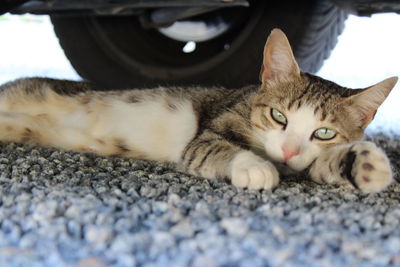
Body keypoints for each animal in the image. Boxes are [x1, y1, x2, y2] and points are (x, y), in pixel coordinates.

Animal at [0, 28, 396, 193]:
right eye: (278, 116)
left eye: (324, 132)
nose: (286, 150)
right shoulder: (212, 127)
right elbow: (214, 145)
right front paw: (255, 167)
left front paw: (366, 165)